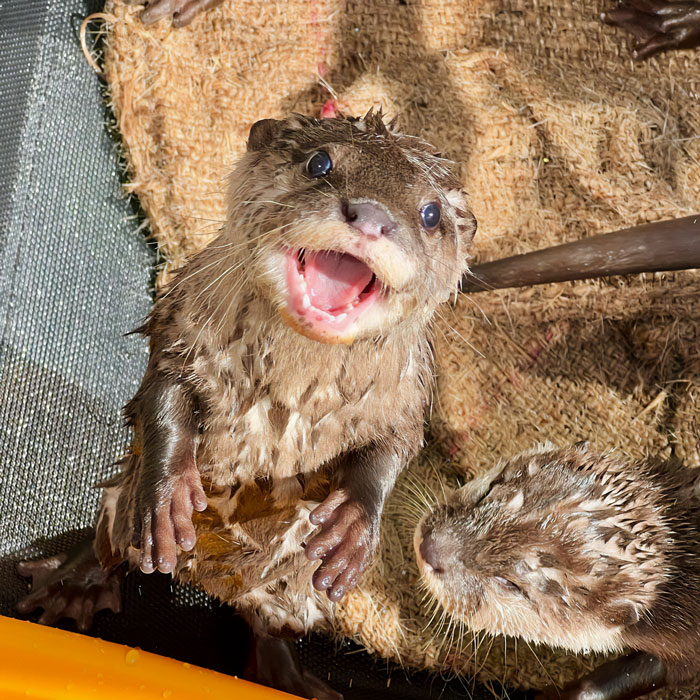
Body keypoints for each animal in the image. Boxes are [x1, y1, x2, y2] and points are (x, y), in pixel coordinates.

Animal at [17, 111, 476, 699]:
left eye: (431, 213)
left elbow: (394, 447)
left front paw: (352, 524)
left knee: (267, 621)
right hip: (120, 511)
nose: (373, 217)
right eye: (320, 162)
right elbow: (164, 395)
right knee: (111, 545)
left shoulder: (410, 389)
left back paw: (290, 677)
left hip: (293, 594)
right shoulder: (183, 326)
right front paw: (169, 496)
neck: (291, 392)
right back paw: (72, 585)